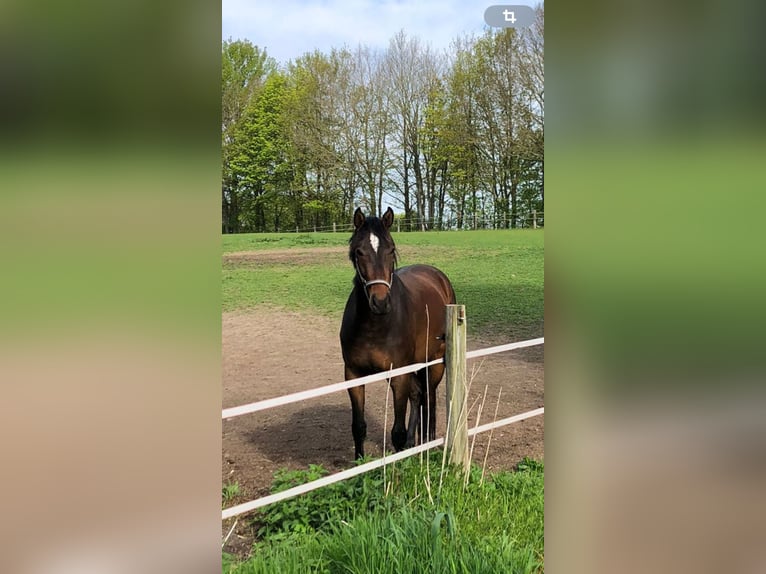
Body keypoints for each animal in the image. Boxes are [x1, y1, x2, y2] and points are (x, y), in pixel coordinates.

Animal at [340, 207, 456, 460]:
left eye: (391, 249)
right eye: (359, 252)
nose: (380, 302)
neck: (375, 326)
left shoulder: (399, 375)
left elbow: (397, 432)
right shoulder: (353, 375)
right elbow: (358, 426)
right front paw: (359, 463)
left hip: (434, 363)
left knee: (429, 399)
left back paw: (427, 443)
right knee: (418, 395)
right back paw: (414, 443)